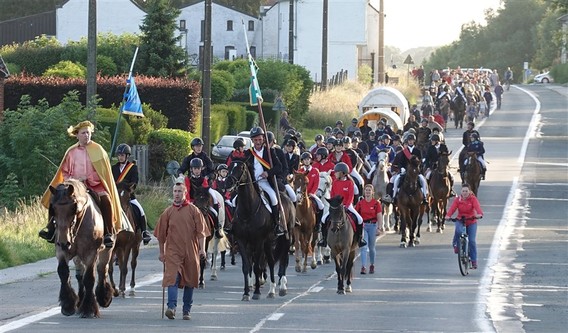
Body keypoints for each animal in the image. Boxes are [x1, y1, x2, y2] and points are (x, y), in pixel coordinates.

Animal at [49, 179, 114, 316]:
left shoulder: (91, 253)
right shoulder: (61, 251)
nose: (64, 241)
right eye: (53, 209)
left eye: (73, 208)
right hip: (77, 256)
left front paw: (89, 308)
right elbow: (63, 272)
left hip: (107, 250)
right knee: (80, 274)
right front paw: (68, 304)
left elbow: (89, 278)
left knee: (102, 269)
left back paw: (103, 296)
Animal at [226, 160, 298, 300]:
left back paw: (282, 287)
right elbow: (247, 267)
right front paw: (246, 293)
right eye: (230, 167)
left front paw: (256, 292)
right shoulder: (243, 241)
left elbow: (257, 267)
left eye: (240, 168)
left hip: (286, 237)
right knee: (271, 261)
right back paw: (271, 290)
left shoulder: (258, 241)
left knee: (283, 259)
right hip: (269, 242)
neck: (248, 211)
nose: (227, 182)